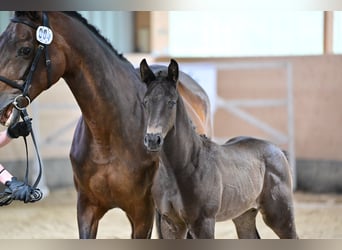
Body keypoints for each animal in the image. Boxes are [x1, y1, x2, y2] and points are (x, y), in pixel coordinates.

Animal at [140, 58, 298, 238]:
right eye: (145, 102)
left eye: (171, 102)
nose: (153, 139)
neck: (183, 166)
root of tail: (278, 150)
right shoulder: (171, 223)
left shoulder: (204, 222)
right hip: (244, 215)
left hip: (280, 215)